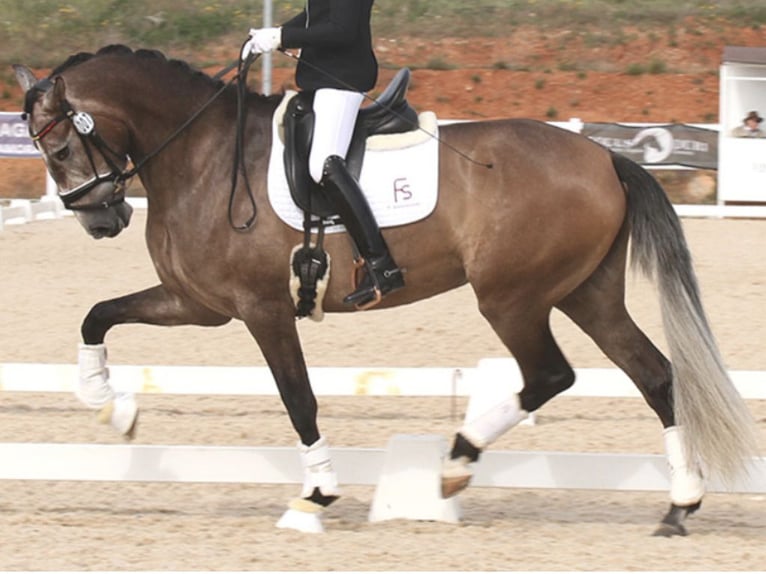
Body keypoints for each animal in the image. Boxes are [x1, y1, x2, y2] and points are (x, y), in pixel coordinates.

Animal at [15, 46, 760, 540]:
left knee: (550, 374)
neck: (201, 155)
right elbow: (96, 317)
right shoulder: (199, 305)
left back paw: (455, 465)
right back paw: (679, 505)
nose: (102, 219)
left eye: (58, 150)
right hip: (586, 293)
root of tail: (604, 155)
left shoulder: (261, 309)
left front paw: (315, 495)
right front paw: (112, 410)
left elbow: (298, 399)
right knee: (655, 375)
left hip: (512, 297)